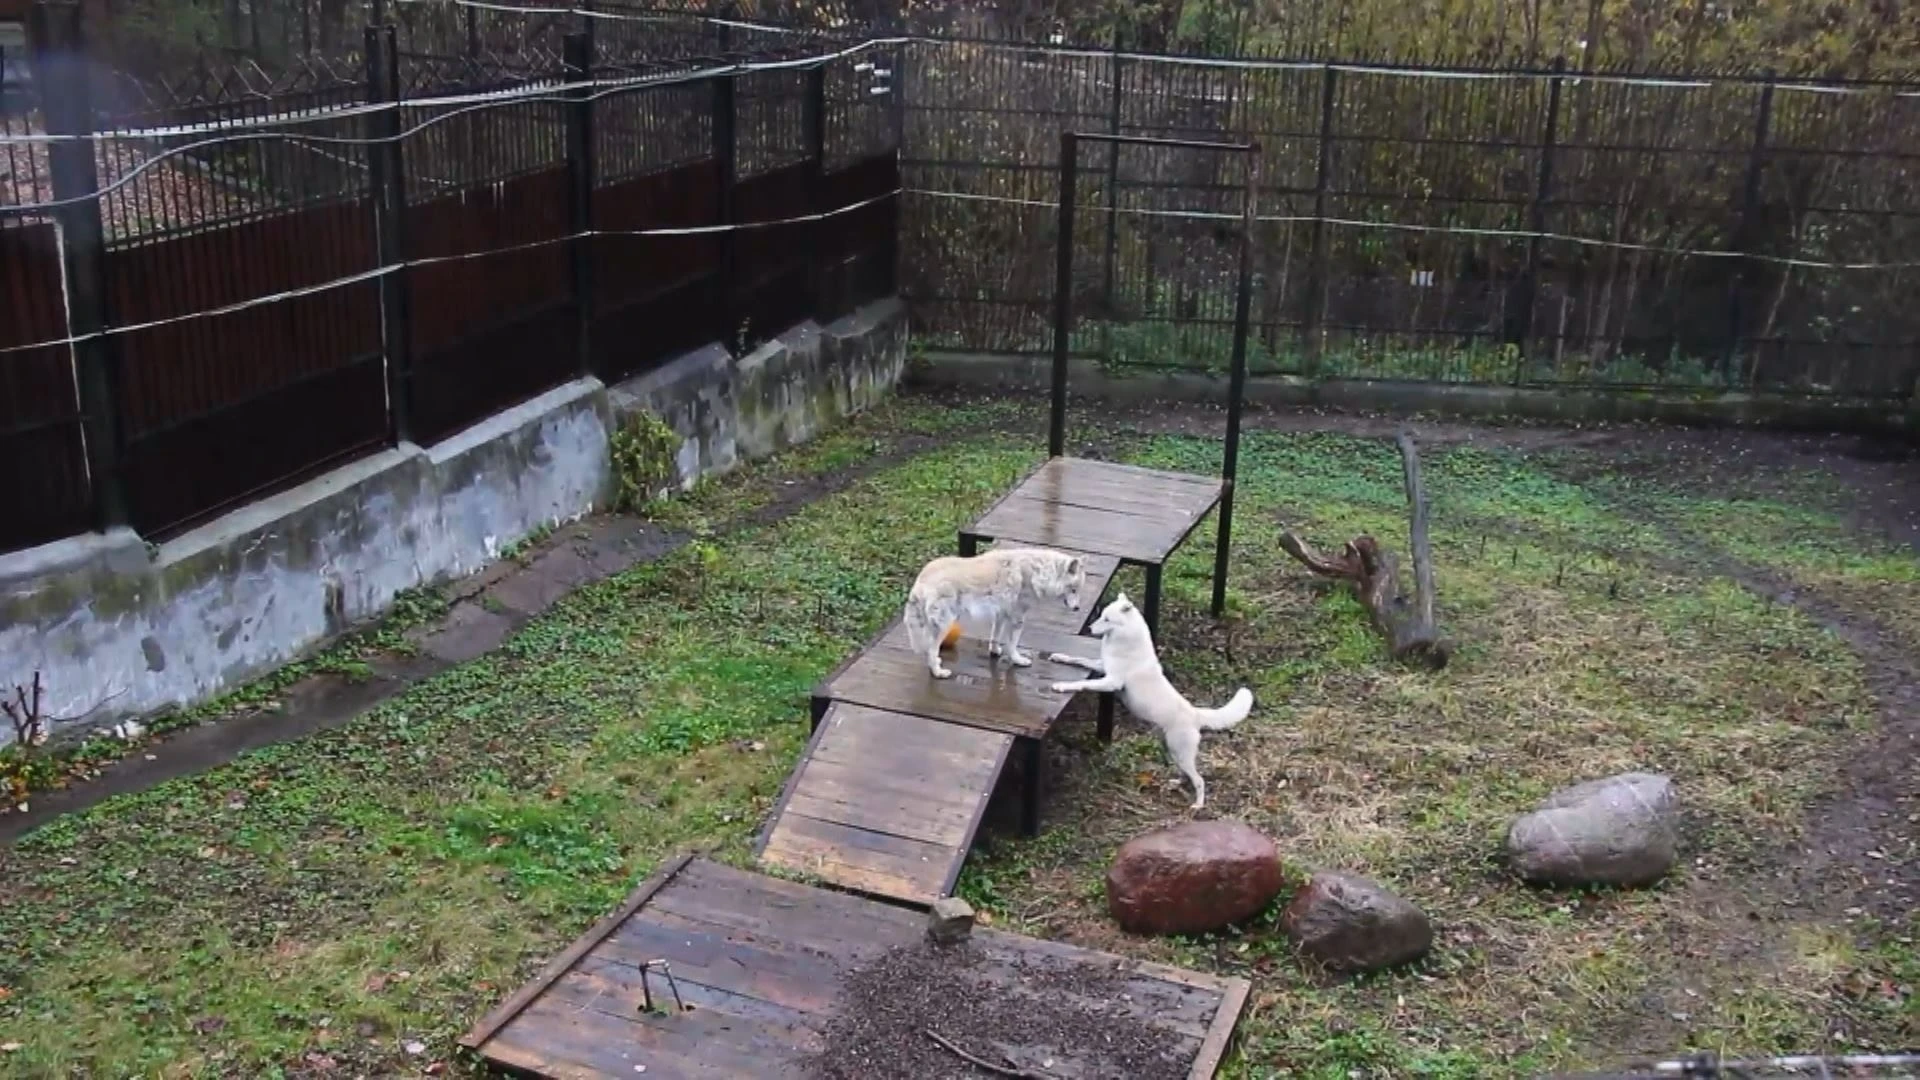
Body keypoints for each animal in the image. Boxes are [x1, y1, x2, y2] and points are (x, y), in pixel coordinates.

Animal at [898, 541, 1082, 676]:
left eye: (1078, 590)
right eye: (1073, 590)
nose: (1077, 608)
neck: (1039, 572)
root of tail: (919, 582)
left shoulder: (1000, 614)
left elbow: (995, 636)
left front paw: (995, 651)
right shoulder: (1017, 618)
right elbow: (1012, 644)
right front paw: (1018, 660)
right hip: (944, 626)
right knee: (931, 650)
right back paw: (938, 672)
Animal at [1044, 588, 1251, 807]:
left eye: (1107, 619)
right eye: (1101, 616)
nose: (1090, 628)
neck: (1125, 640)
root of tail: (1195, 713)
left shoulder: (1111, 682)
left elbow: (1082, 683)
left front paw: (1062, 686)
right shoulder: (1102, 667)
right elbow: (1079, 660)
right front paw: (1059, 657)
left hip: (1181, 752)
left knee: (1199, 780)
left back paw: (1198, 805)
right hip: (1172, 750)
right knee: (1185, 775)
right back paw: (1175, 783)